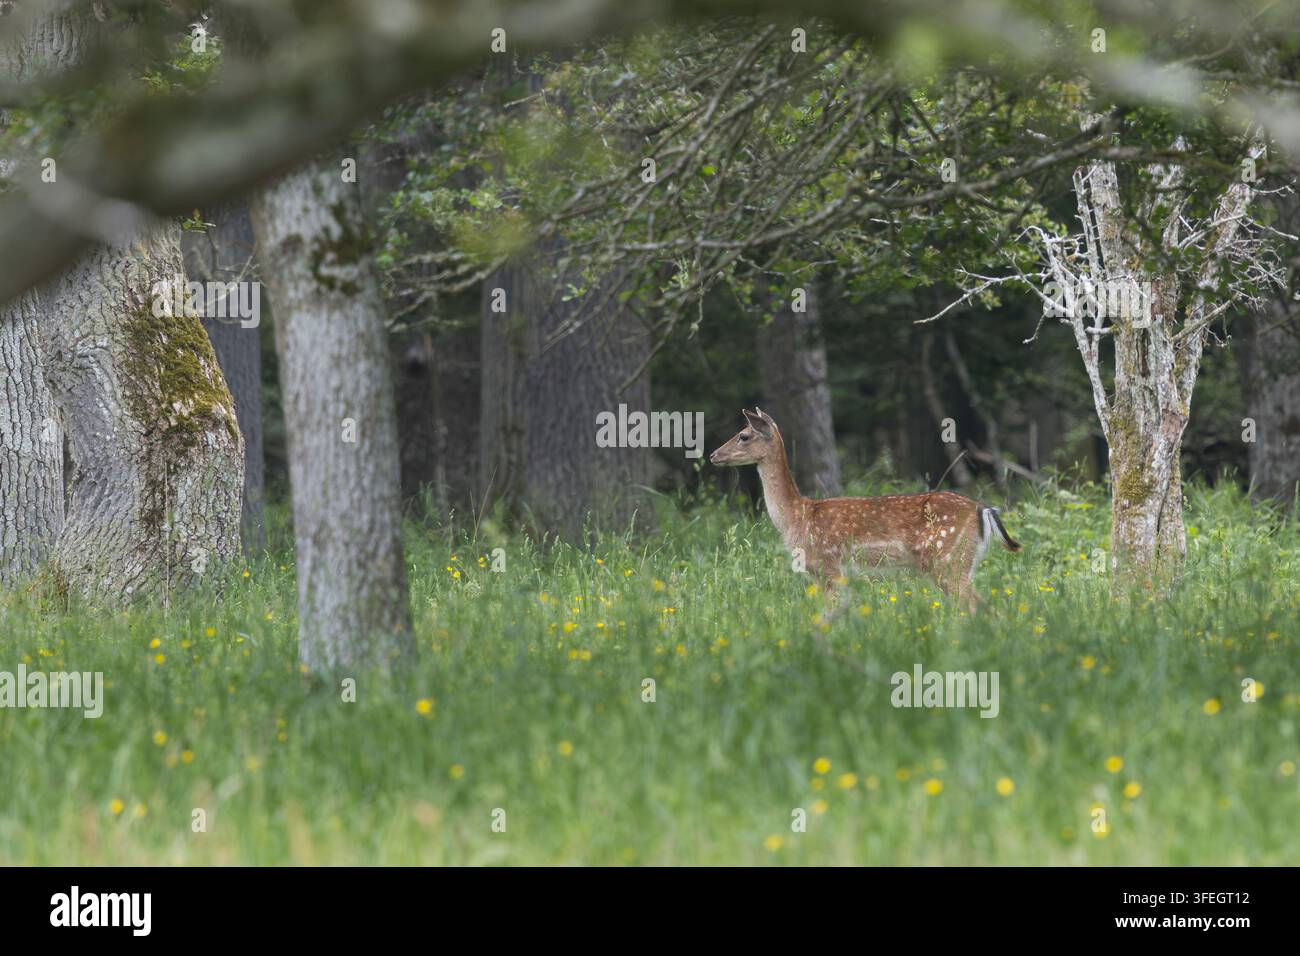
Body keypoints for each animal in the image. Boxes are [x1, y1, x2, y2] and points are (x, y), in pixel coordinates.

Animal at [709, 408, 1021, 611]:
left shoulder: (829, 566)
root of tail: (984, 509)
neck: (797, 517)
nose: (713, 454)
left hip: (948, 560)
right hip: (960, 563)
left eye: (744, 435)